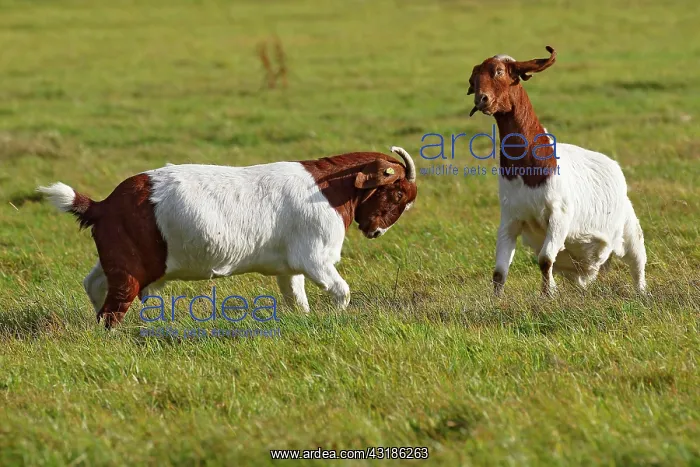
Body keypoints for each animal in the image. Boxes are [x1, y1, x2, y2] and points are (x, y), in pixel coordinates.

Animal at [38, 147, 418, 328]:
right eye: (399, 193)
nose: (377, 231)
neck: (330, 188)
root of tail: (104, 205)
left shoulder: (290, 268)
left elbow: (297, 300)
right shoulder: (316, 259)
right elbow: (342, 291)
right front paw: (335, 319)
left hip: (115, 260)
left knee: (93, 286)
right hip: (130, 270)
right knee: (111, 311)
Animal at [467, 46, 647, 296]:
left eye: (499, 71)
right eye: (473, 78)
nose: (481, 99)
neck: (528, 171)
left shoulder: (559, 215)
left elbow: (545, 259)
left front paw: (548, 293)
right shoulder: (510, 219)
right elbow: (499, 272)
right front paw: (497, 300)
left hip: (628, 226)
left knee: (637, 260)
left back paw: (642, 292)